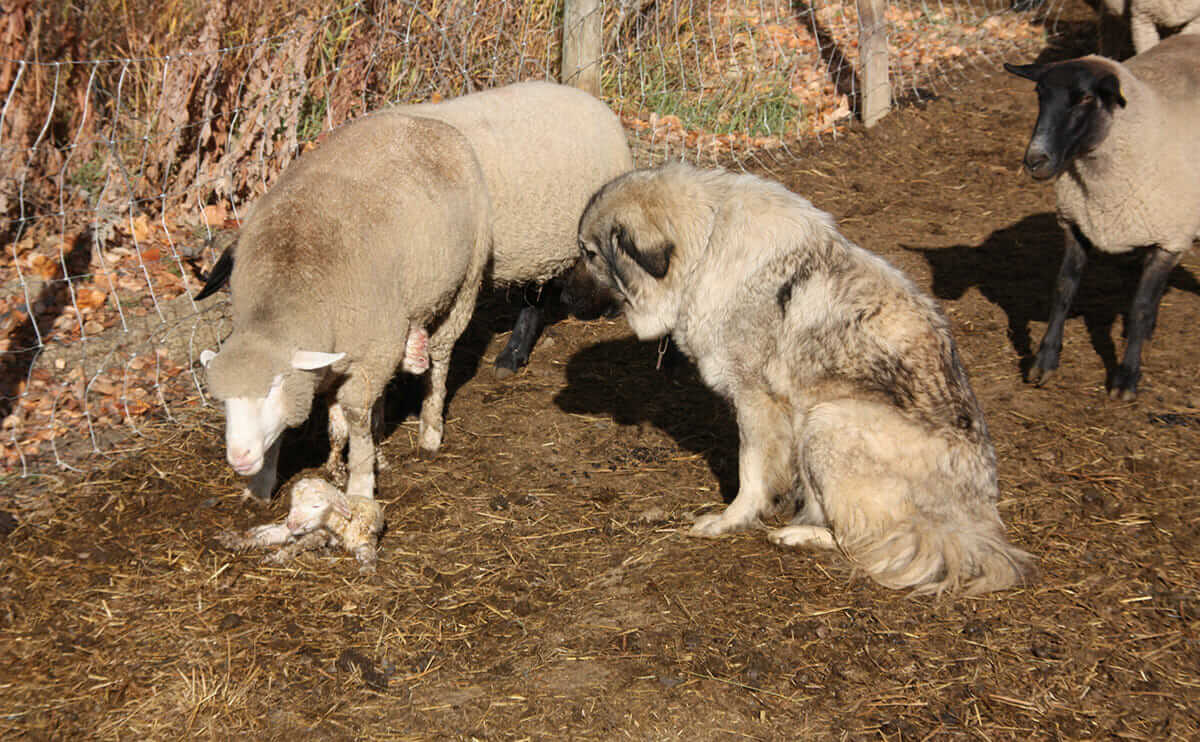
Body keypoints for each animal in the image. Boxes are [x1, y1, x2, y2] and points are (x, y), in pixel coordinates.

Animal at [199, 111, 489, 501]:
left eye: (273, 388)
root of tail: (429, 122)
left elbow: (355, 418)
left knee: (441, 359)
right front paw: (263, 485)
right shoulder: (339, 360)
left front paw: (361, 483)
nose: (240, 457)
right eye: (223, 400)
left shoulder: (369, 354)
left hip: (466, 282)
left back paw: (430, 430)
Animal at [571, 164, 1032, 593]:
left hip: (827, 421)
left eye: (590, 254)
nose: (561, 297)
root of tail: (974, 525)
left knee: (868, 540)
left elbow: (750, 473)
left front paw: (730, 520)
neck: (706, 242)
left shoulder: (756, 399)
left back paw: (799, 533)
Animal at [1008, 33, 1195, 398]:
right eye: (1040, 94)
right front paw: (1044, 362)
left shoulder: (1168, 238)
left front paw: (1126, 378)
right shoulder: (1077, 223)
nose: (1035, 160)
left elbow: (1138, 307)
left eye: (1085, 98)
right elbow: (1063, 290)